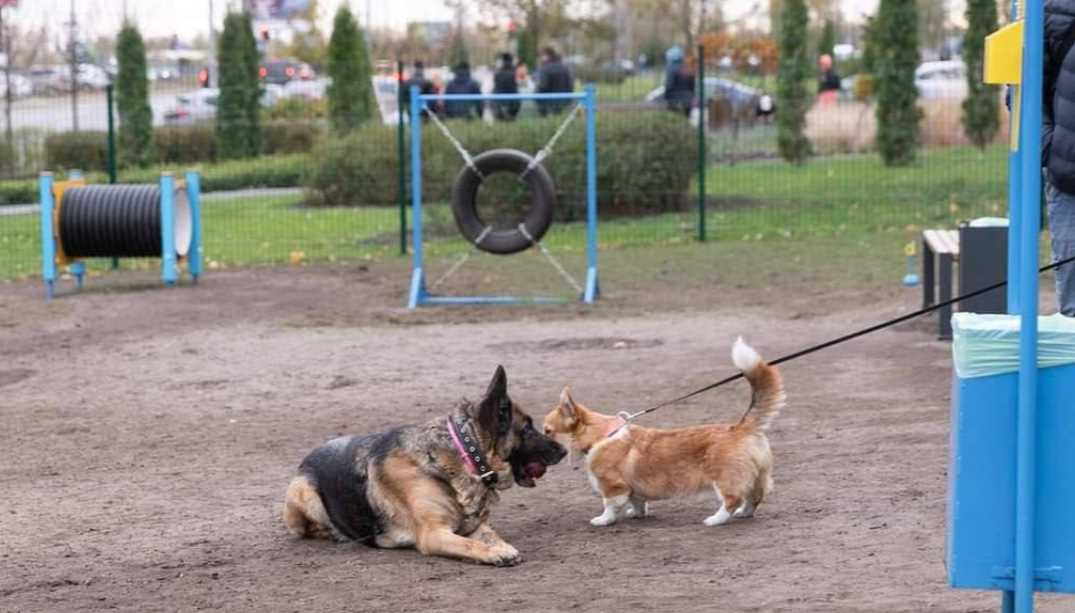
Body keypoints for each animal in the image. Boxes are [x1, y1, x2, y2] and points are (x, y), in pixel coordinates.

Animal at [285, 363, 571, 563]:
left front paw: (500, 546)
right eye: (528, 429)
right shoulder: (433, 534)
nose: (564, 450)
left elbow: (491, 534)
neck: (464, 454)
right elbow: (469, 544)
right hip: (304, 492)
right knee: (308, 529)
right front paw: (493, 553)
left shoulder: (473, 524)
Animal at [541, 333, 786, 524]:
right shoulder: (633, 490)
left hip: (724, 478)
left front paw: (603, 520)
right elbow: (638, 503)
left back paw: (715, 519)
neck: (601, 435)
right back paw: (744, 514)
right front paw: (636, 514)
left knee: (732, 500)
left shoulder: (612, 486)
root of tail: (741, 428)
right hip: (758, 476)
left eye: (547, 430)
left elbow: (609, 505)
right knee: (754, 497)